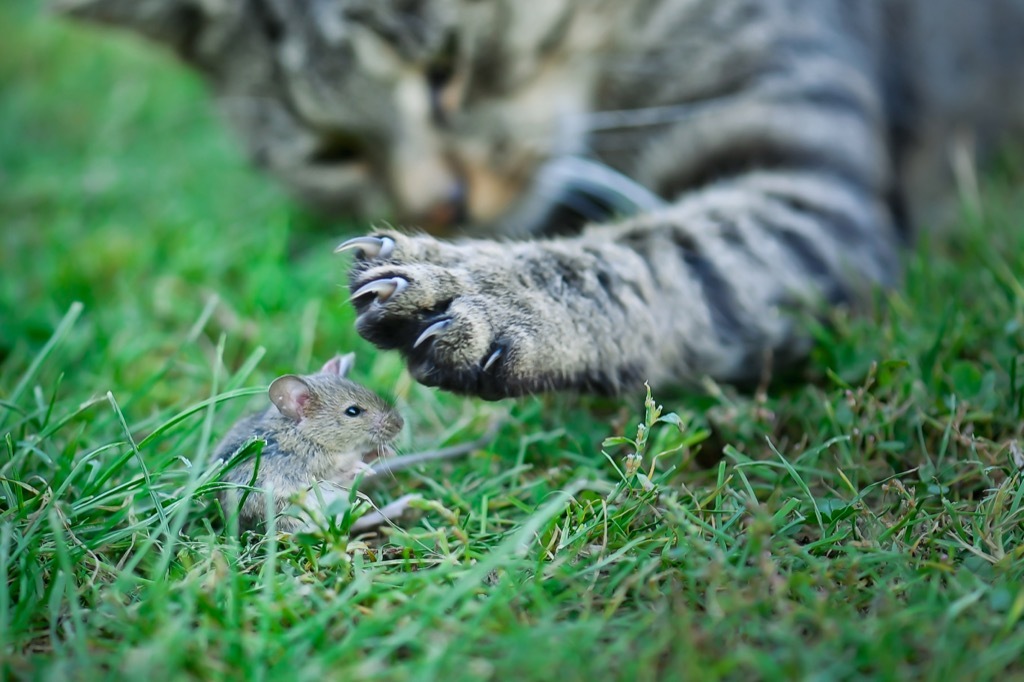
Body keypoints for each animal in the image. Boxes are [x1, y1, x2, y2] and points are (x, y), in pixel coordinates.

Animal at [59, 0, 1024, 399]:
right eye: (335, 151)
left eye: (446, 68)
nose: (441, 205)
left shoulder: (808, 184)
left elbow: (659, 252)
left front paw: (485, 288)